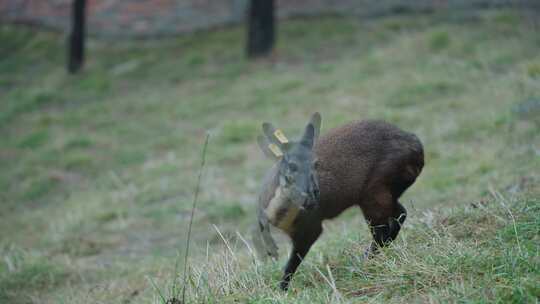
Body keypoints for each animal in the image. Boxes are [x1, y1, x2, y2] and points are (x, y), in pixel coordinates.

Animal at [253, 111, 426, 290]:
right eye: (291, 167)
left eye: (316, 164)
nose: (313, 194)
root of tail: (417, 146)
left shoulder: (311, 227)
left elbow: (292, 263)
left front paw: (282, 289)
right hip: (382, 193)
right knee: (399, 214)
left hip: (374, 191)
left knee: (384, 229)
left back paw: (362, 263)